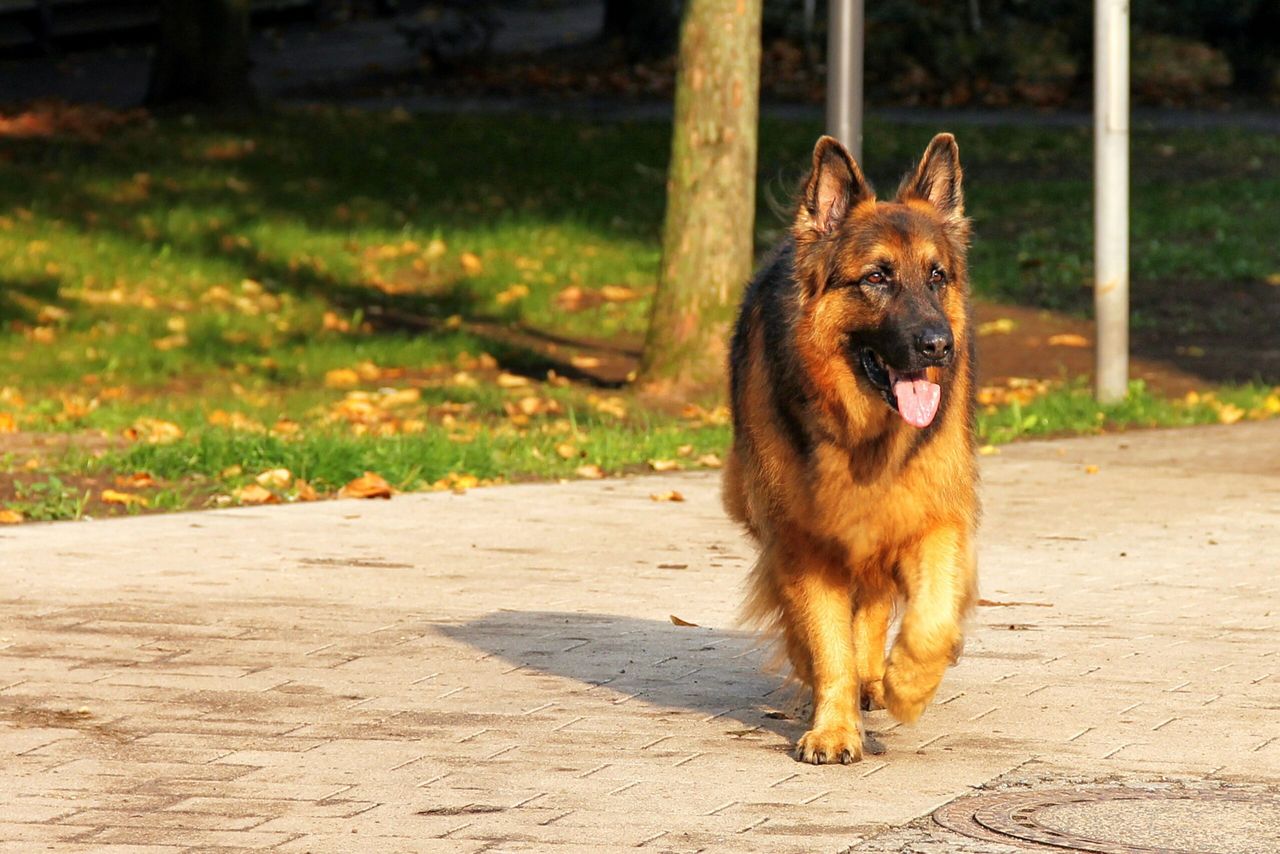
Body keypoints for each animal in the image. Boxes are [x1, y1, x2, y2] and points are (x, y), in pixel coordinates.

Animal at [727, 135, 972, 768]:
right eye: (877, 277)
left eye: (936, 276)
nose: (939, 346)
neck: (863, 436)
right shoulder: (803, 540)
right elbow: (826, 641)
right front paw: (834, 728)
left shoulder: (934, 516)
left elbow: (930, 622)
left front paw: (906, 684)